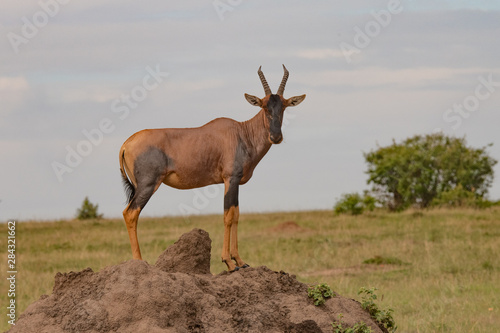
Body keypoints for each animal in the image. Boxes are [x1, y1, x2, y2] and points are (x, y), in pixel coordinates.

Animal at [118, 64, 304, 270]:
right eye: (264, 106)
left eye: (284, 106)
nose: (276, 137)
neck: (241, 133)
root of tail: (126, 143)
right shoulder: (230, 179)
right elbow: (228, 216)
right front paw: (229, 262)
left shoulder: (235, 182)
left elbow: (236, 214)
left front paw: (240, 261)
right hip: (148, 185)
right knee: (130, 213)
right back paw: (139, 262)